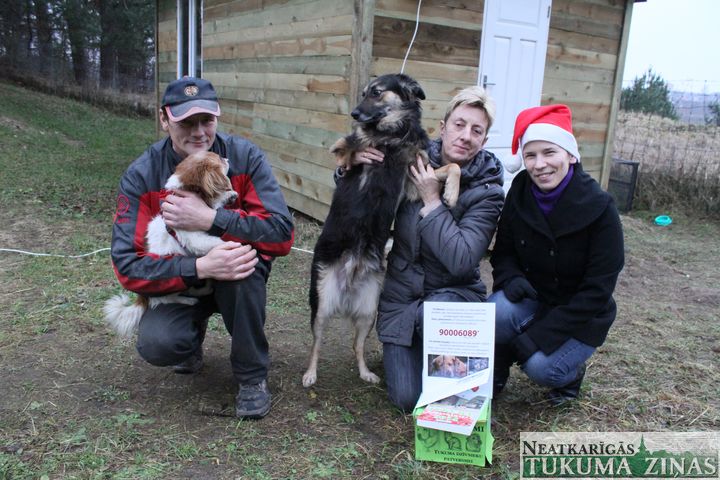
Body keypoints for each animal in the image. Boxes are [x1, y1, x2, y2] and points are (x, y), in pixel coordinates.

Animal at [103, 152, 236, 336]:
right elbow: (217, 242)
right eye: (220, 160)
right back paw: (188, 300)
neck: (189, 191)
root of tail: (142, 297)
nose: (228, 159)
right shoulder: (195, 239)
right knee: (165, 299)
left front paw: (229, 195)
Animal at [300, 73, 458, 388]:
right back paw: (310, 374)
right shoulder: (345, 149)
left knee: (357, 345)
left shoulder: (414, 180)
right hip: (321, 302)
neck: (393, 136)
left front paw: (451, 195)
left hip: (369, 309)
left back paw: (365, 373)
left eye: (376, 92)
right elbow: (352, 149)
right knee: (316, 344)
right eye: (362, 93)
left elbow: (454, 166)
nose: (354, 113)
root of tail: (349, 282)